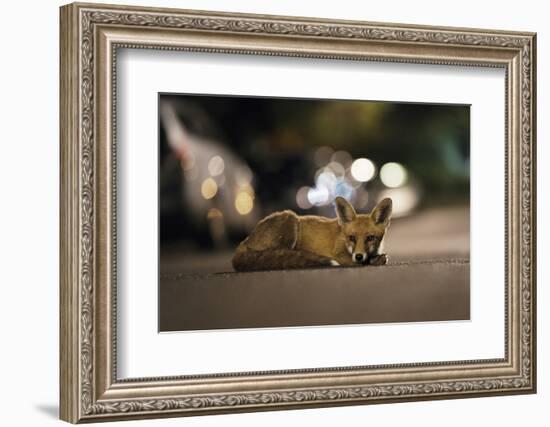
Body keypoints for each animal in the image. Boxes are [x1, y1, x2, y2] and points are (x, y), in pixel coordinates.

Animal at [233, 196, 392, 270]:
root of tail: (243, 242)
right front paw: (372, 261)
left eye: (370, 238)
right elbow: (361, 262)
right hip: (291, 219)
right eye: (351, 238)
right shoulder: (339, 254)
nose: (358, 256)